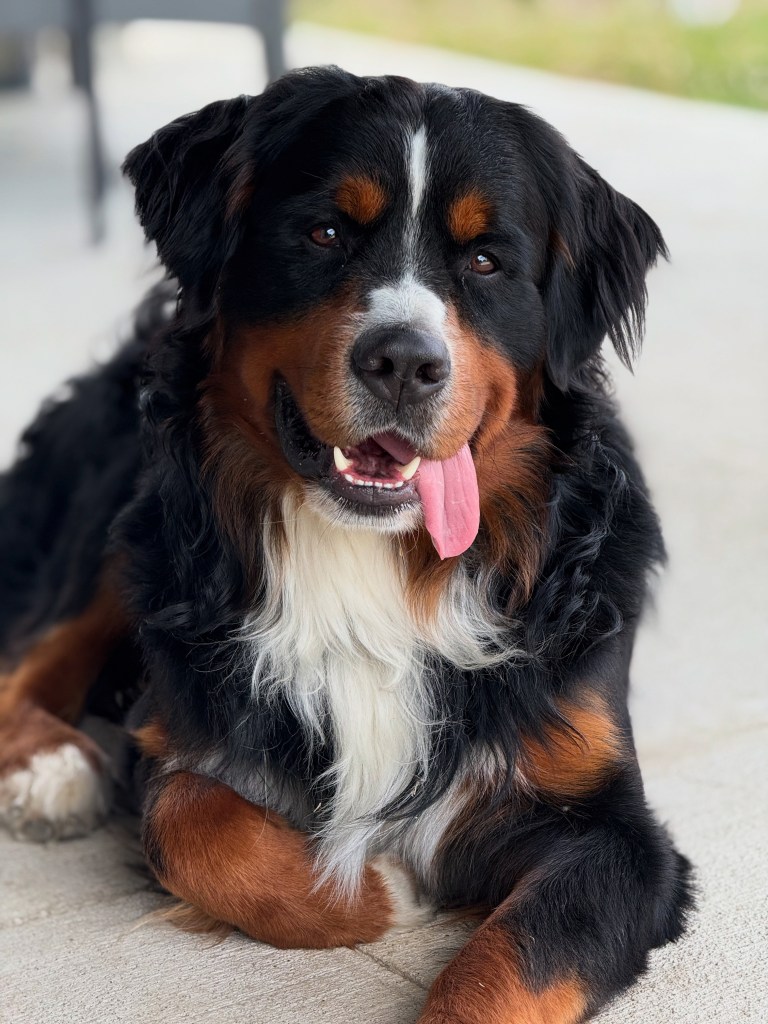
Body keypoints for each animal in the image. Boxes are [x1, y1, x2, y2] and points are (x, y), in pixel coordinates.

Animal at [0, 67, 692, 1023]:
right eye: (326, 231)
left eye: (486, 261)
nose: (403, 362)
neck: (380, 565)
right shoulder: (180, 739)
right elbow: (191, 825)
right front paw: (381, 894)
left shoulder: (615, 830)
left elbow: (508, 964)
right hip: (137, 523)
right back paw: (51, 767)